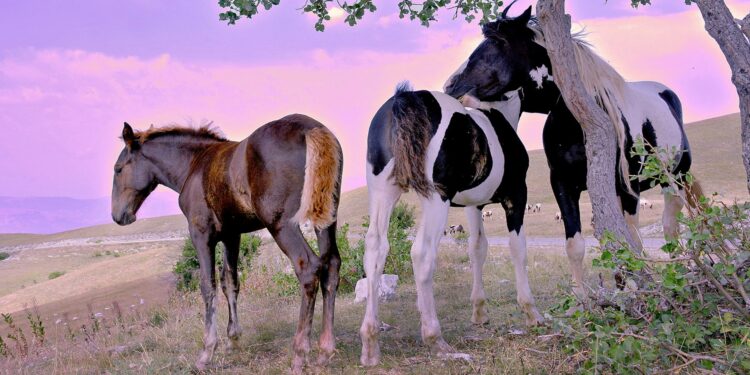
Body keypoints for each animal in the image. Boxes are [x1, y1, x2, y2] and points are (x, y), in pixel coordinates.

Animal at [362, 83, 544, 368]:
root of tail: (406, 98)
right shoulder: (516, 196)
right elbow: (518, 249)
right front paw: (531, 312)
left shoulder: (473, 205)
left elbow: (477, 248)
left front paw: (479, 313)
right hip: (436, 198)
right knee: (422, 253)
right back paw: (434, 338)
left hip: (383, 190)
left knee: (375, 248)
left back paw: (370, 344)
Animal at [444, 4, 704, 296]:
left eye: (497, 43)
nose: (451, 86)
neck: (577, 123)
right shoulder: (564, 184)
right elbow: (577, 244)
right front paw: (583, 297)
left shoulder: (629, 188)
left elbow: (633, 241)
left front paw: (639, 285)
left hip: (675, 178)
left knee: (670, 226)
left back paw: (679, 271)